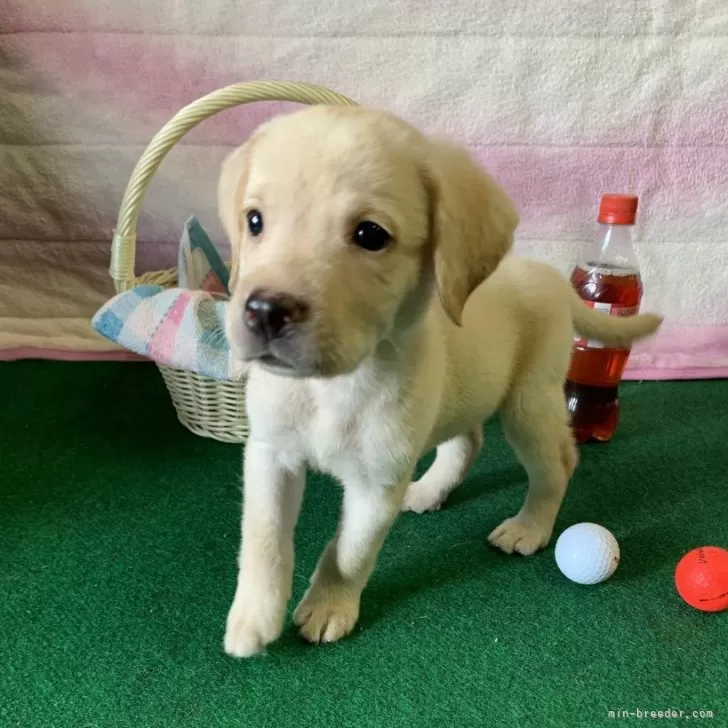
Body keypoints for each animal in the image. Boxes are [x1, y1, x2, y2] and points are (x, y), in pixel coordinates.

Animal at [219, 105, 664, 656]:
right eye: (254, 221)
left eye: (370, 235)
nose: (263, 311)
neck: (333, 385)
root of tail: (551, 278)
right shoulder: (269, 454)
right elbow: (263, 542)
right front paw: (252, 618)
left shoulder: (377, 482)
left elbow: (348, 552)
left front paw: (328, 607)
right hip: (466, 393)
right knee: (468, 441)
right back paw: (431, 489)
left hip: (529, 402)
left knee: (559, 462)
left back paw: (529, 526)